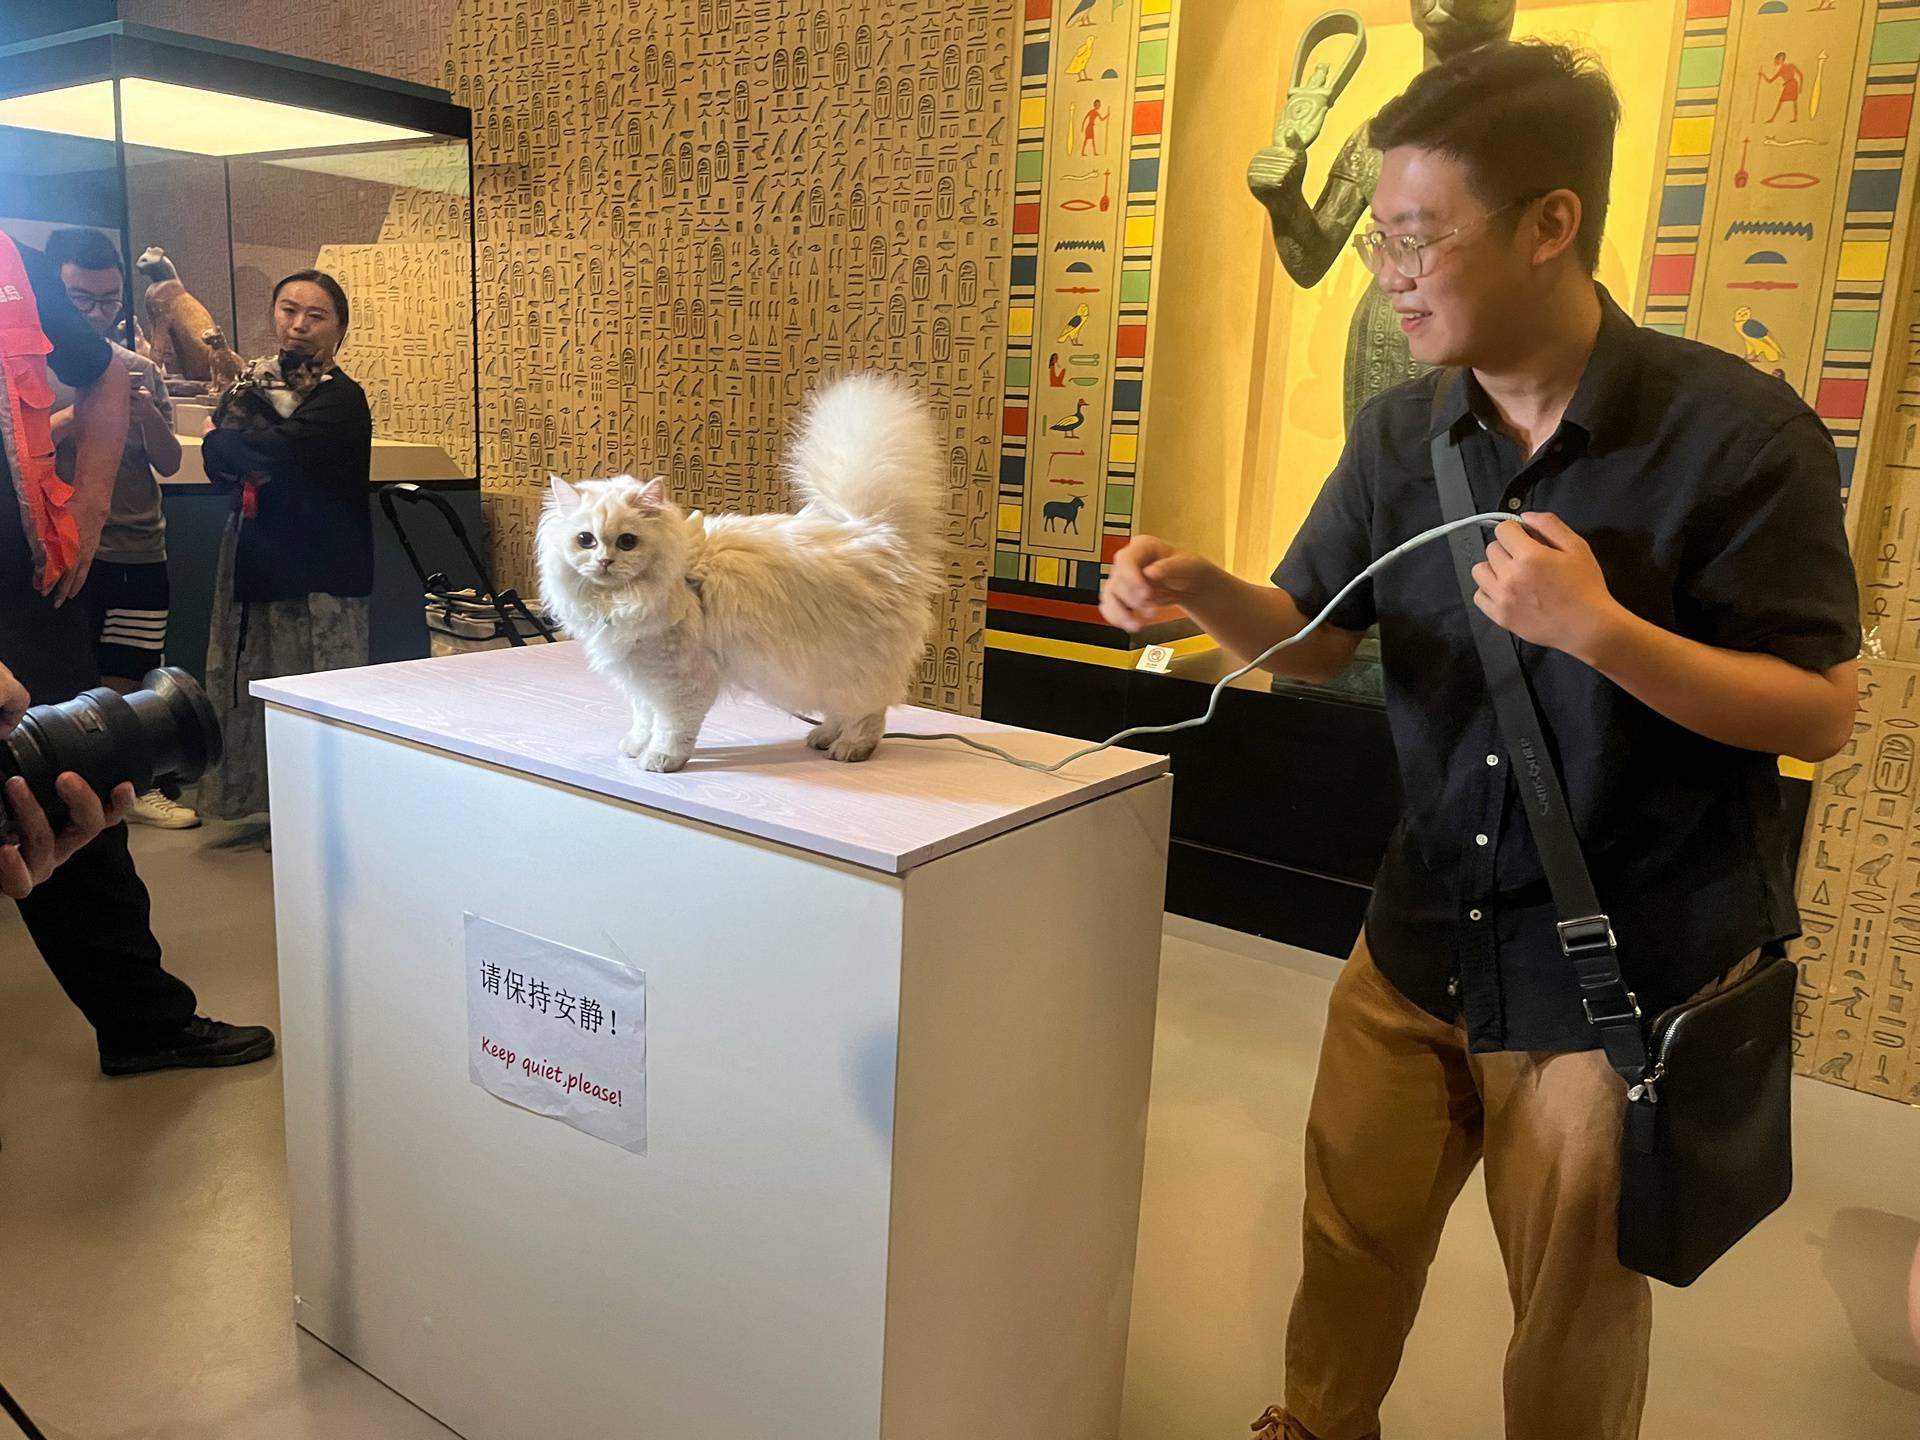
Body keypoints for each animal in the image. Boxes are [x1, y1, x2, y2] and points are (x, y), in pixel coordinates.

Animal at [537, 378, 940, 771]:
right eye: (585, 540)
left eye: (627, 541)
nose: (604, 562)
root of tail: (875, 532)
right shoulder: (642, 680)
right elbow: (644, 719)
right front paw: (635, 747)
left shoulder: (680, 682)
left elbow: (671, 729)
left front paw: (660, 759)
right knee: (843, 710)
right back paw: (823, 737)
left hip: (852, 667)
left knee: (869, 714)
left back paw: (850, 748)